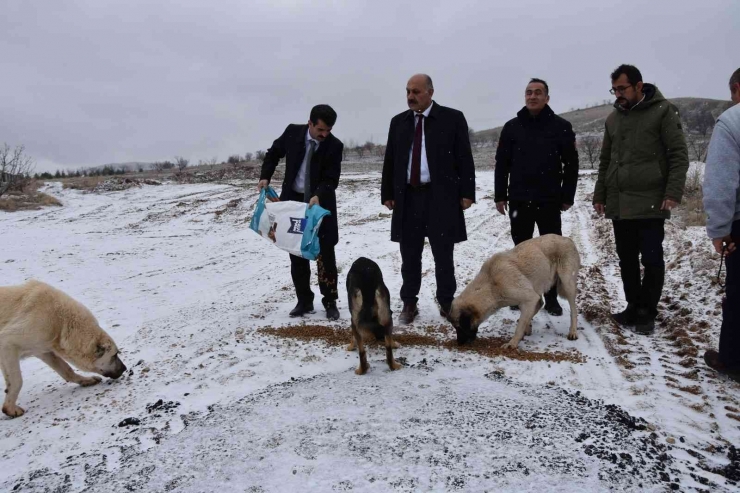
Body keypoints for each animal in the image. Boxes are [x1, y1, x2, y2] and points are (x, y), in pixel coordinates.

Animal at [0, 280, 126, 416]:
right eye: (114, 355)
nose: (124, 368)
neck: (60, 322)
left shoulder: (43, 348)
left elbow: (66, 370)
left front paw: (87, 380)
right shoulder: (7, 343)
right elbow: (17, 380)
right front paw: (10, 409)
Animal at [448, 235, 580, 348]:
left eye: (459, 327)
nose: (459, 343)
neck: (491, 285)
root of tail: (568, 239)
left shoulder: (529, 298)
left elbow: (520, 326)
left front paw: (512, 343)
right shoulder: (528, 299)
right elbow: (527, 316)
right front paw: (525, 329)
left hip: (567, 283)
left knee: (574, 310)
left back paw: (573, 332)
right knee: (541, 303)